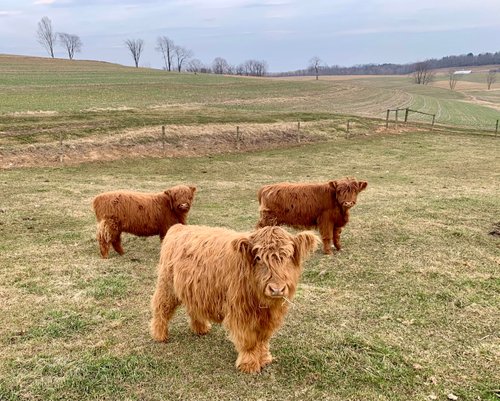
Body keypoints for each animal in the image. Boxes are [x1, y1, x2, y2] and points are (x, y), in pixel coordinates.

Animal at [150, 223, 318, 374]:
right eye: (258, 257)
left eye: (288, 256)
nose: (276, 289)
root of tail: (178, 227)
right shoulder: (241, 312)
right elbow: (248, 340)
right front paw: (249, 364)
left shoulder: (270, 317)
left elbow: (263, 339)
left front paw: (264, 358)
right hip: (167, 286)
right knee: (160, 308)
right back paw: (159, 335)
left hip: (195, 290)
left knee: (194, 308)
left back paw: (201, 329)